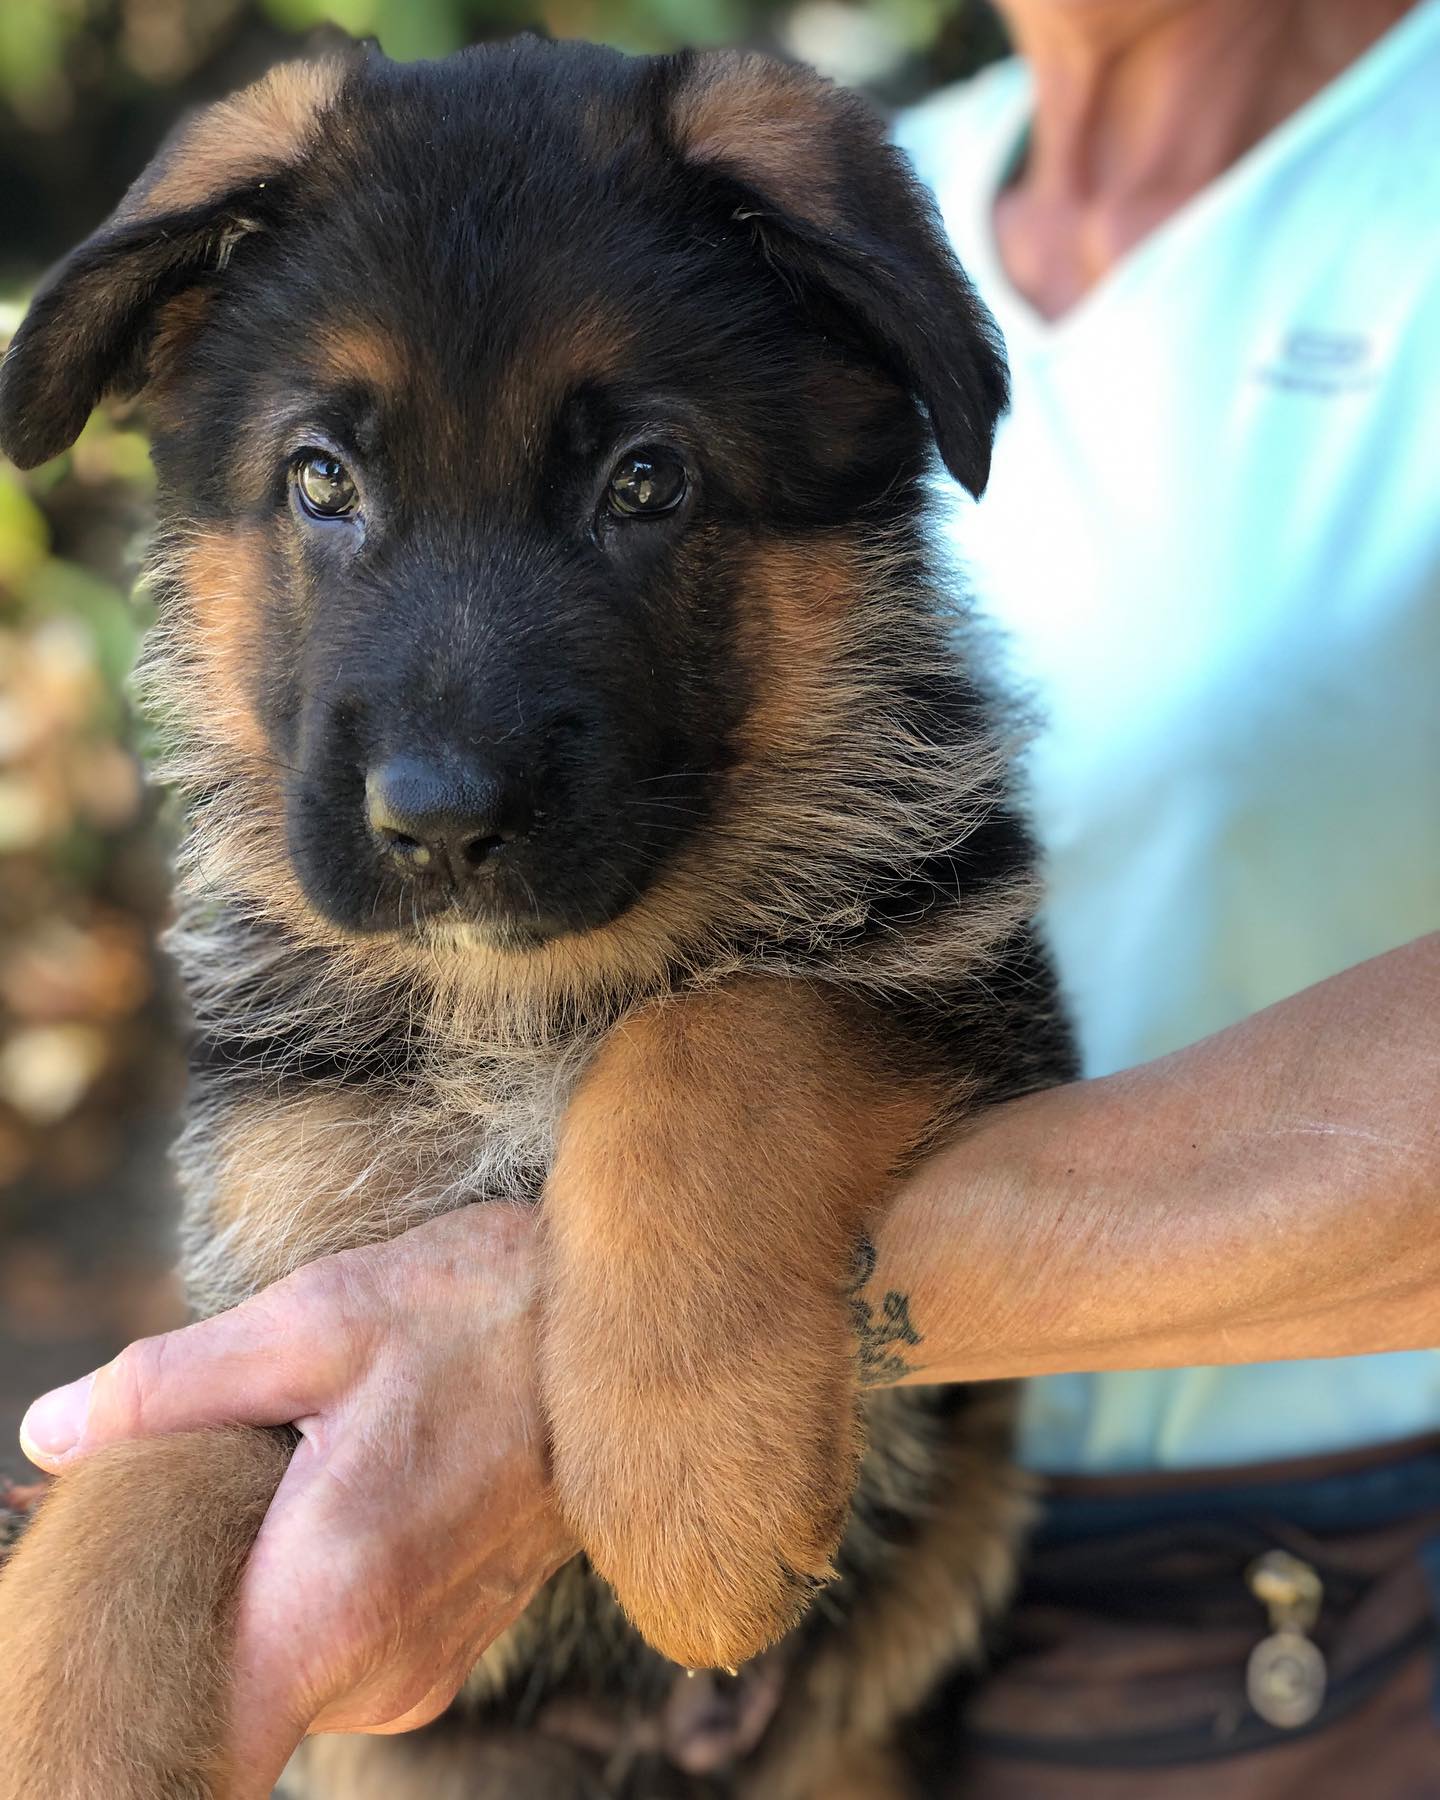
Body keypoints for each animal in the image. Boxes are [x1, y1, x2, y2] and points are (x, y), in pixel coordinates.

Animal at [0, 31, 1072, 1800]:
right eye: (322, 481)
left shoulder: (973, 992)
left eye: (646, 483)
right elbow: (142, 1480)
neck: (522, 1004)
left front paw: (693, 1482)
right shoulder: (275, 1286)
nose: (439, 823)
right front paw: (61, 1721)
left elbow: (720, 1026)